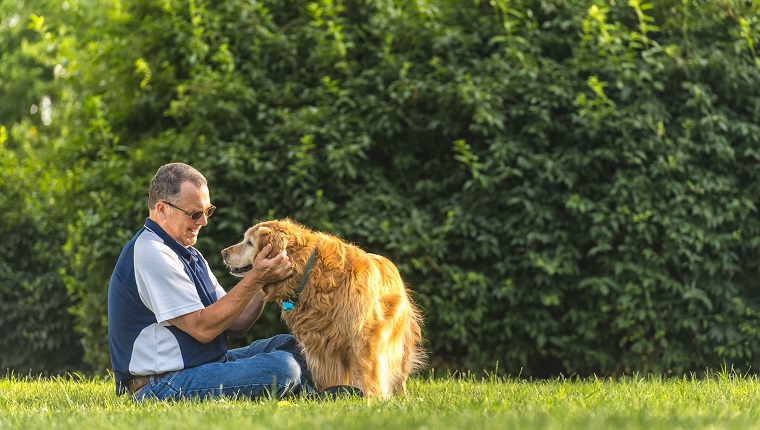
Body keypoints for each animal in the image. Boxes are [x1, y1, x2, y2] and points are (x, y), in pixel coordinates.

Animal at [221, 220, 428, 398]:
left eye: (249, 242)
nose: (223, 252)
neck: (310, 271)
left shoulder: (363, 337)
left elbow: (365, 371)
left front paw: (369, 398)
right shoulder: (320, 346)